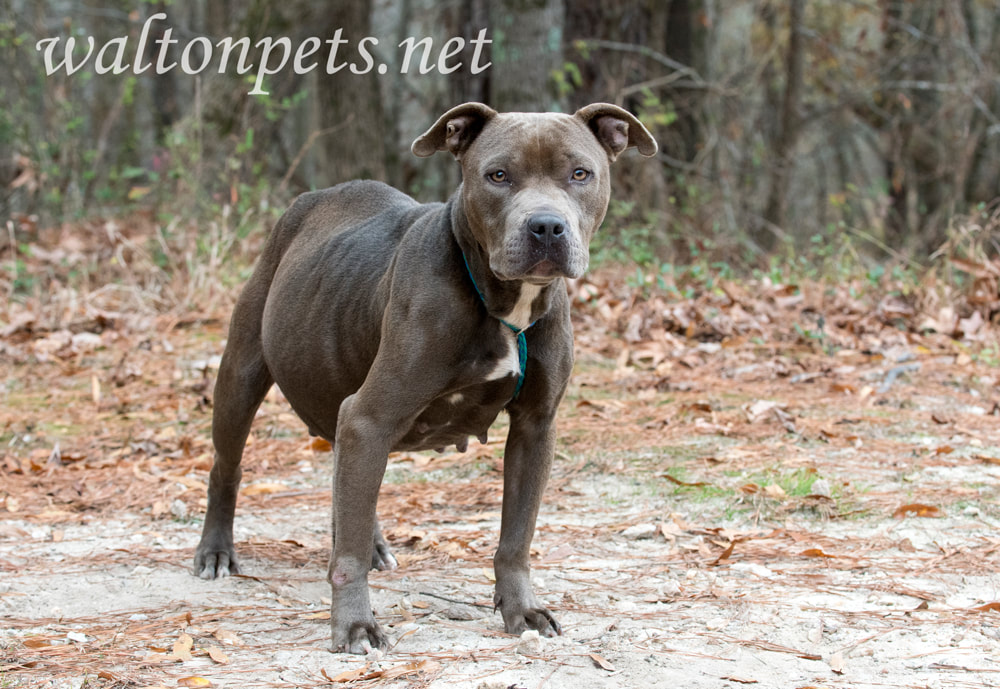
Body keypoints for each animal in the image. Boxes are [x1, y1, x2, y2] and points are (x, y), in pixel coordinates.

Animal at [192, 101, 660, 652]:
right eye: (497, 175)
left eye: (580, 174)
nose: (546, 226)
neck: (503, 301)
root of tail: (313, 199)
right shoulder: (371, 415)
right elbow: (348, 555)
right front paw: (354, 625)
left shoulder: (535, 427)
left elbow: (516, 537)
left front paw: (520, 610)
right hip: (241, 375)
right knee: (228, 467)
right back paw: (216, 552)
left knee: (348, 482)